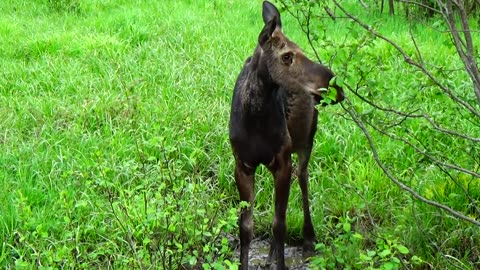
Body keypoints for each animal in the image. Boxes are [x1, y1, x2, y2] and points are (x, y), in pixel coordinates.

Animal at [229, 1, 344, 268]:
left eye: (301, 49)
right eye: (287, 56)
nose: (336, 86)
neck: (255, 121)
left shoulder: (282, 160)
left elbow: (279, 223)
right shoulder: (242, 164)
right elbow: (245, 226)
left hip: (305, 141)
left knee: (303, 178)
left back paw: (309, 239)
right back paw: (272, 253)